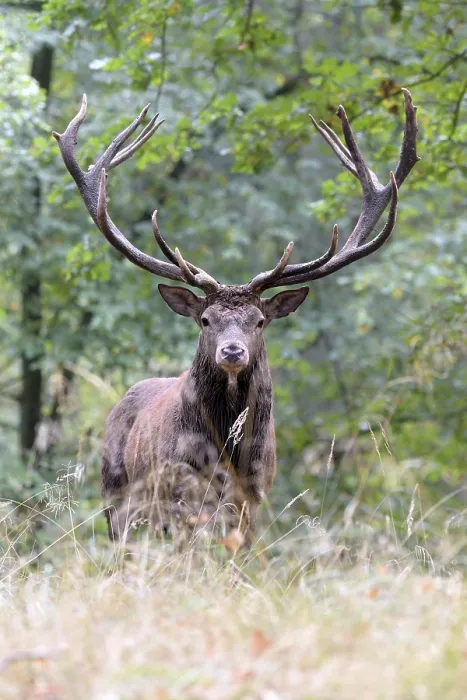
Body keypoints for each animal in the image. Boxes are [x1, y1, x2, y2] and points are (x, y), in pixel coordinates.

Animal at [53, 89, 419, 544]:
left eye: (259, 321)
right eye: (205, 319)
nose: (231, 352)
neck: (227, 451)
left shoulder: (255, 493)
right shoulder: (179, 490)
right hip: (118, 495)